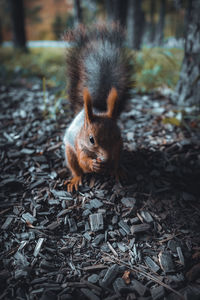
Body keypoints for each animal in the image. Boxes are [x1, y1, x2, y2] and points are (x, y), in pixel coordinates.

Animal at [63, 24, 134, 192]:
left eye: (116, 135)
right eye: (91, 140)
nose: (105, 158)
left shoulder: (118, 145)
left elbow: (116, 157)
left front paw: (113, 167)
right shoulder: (79, 145)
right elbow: (83, 163)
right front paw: (93, 164)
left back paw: (118, 170)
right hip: (69, 153)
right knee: (76, 168)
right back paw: (76, 179)